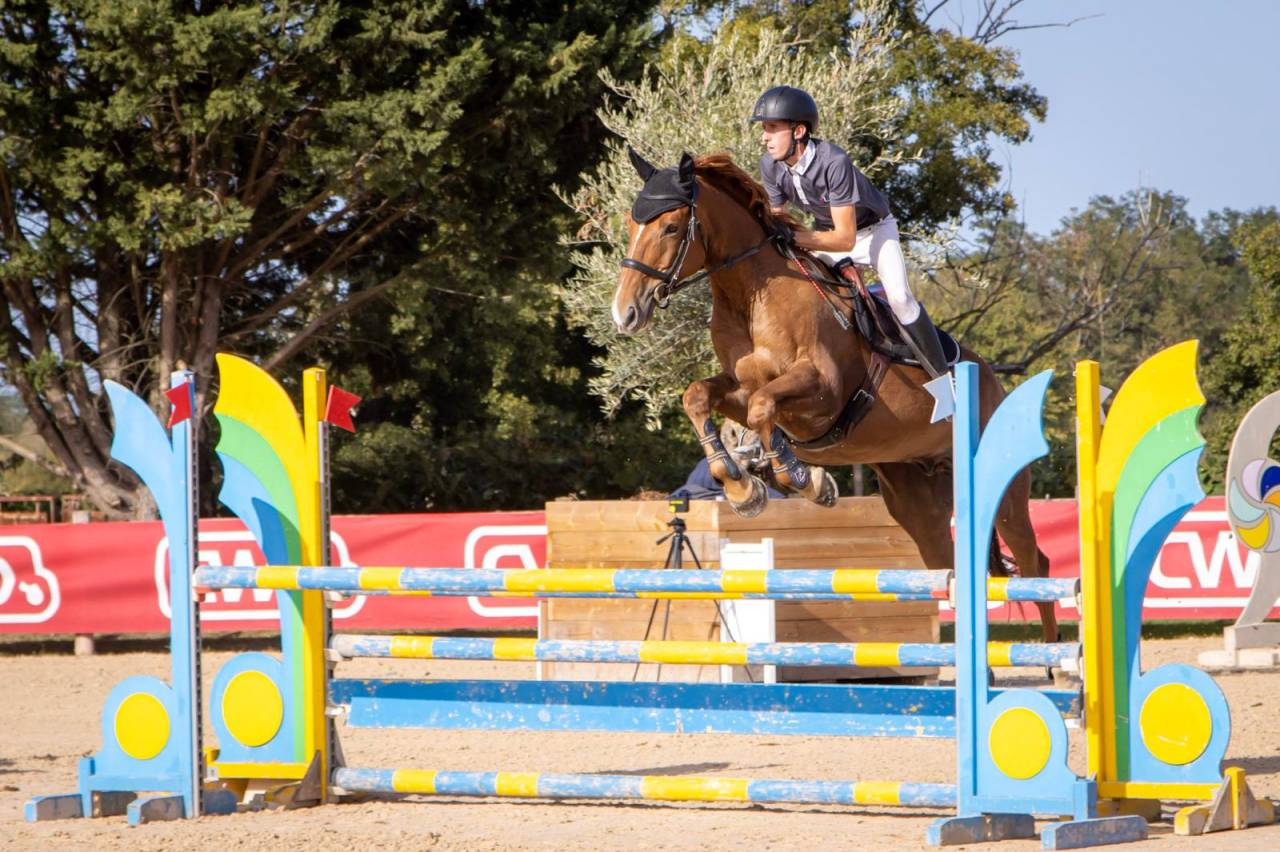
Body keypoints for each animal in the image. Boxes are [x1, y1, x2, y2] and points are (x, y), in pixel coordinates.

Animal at [611, 149, 1058, 645]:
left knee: (1035, 562)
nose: (624, 313)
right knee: (952, 569)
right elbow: (701, 398)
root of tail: (995, 382)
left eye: (671, 228)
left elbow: (767, 408)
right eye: (630, 225)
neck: (753, 296)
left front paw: (801, 479)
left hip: (1005, 487)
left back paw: (1057, 657)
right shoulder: (740, 387)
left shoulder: (822, 392)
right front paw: (743, 486)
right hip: (918, 500)